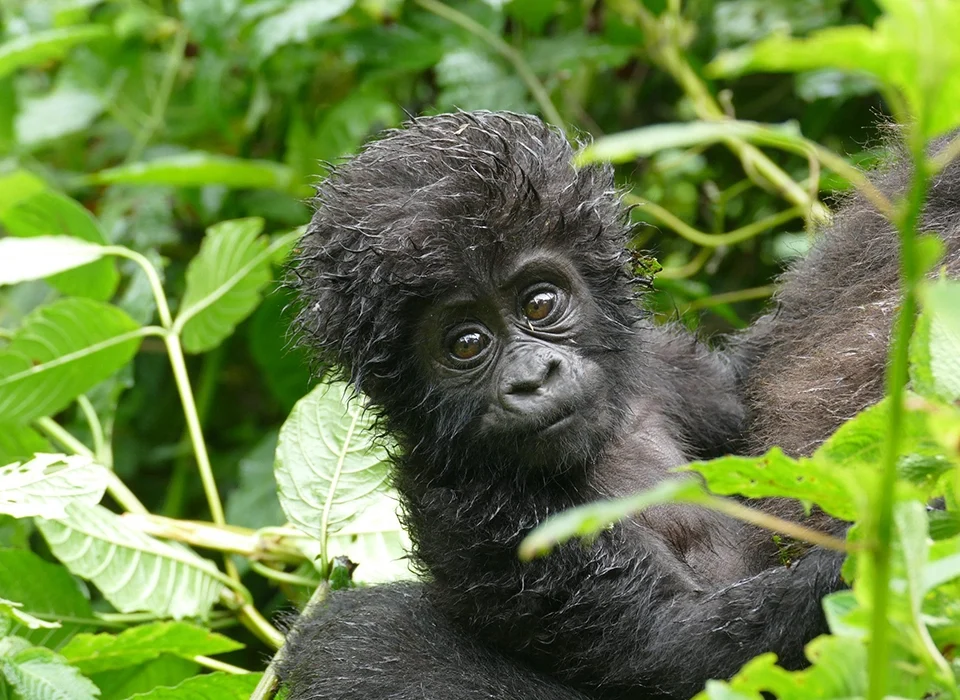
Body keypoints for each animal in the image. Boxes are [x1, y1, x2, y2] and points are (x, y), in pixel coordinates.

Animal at [278, 110, 868, 700]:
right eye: (466, 343)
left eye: (540, 303)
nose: (532, 378)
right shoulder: (476, 511)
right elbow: (676, 649)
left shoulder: (670, 367)